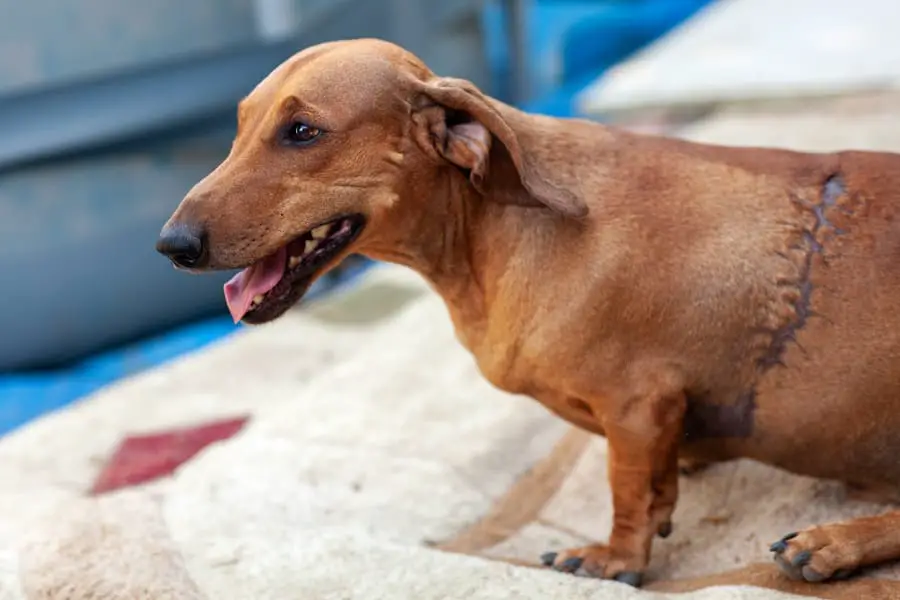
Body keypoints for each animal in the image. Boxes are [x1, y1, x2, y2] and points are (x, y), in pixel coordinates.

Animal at [158, 38, 900, 592]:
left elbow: (628, 493)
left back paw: (833, 543)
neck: (498, 232)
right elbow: (657, 483)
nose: (172, 245)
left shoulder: (640, 402)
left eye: (302, 131)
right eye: (239, 127)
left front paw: (613, 558)